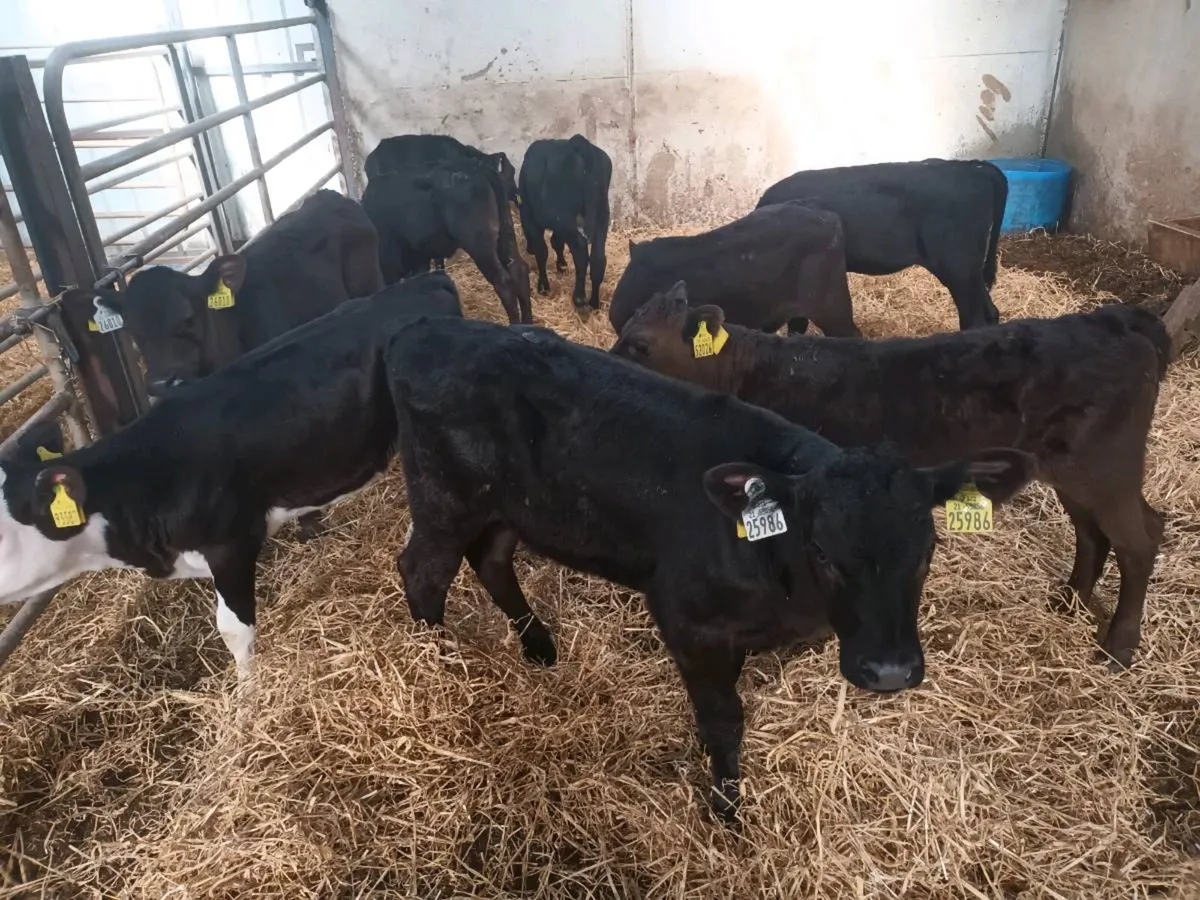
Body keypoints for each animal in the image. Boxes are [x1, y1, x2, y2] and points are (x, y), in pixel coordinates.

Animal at [363, 160, 533, 325]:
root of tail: (478, 168)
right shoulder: (420, 258)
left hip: (481, 248)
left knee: (503, 282)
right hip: (506, 236)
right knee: (519, 270)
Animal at [386, 315, 1033, 823]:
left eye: (927, 550)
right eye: (823, 550)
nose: (890, 671)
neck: (784, 583)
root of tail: (428, 332)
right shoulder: (687, 620)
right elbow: (724, 719)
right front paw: (726, 809)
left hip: (506, 505)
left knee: (491, 560)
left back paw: (538, 646)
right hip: (445, 499)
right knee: (422, 571)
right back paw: (437, 660)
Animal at [518, 135, 612, 318]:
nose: (528, 249)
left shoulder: (530, 218)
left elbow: (542, 251)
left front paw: (543, 286)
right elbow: (556, 242)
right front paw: (561, 265)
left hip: (565, 218)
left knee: (580, 251)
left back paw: (580, 300)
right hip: (602, 213)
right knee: (598, 258)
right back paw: (594, 302)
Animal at [611, 285, 1171, 670]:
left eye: (639, 344)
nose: (605, 365)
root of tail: (1113, 320)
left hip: (1105, 469)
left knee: (1140, 540)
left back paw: (1118, 647)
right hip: (1072, 471)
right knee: (1097, 532)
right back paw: (1071, 599)